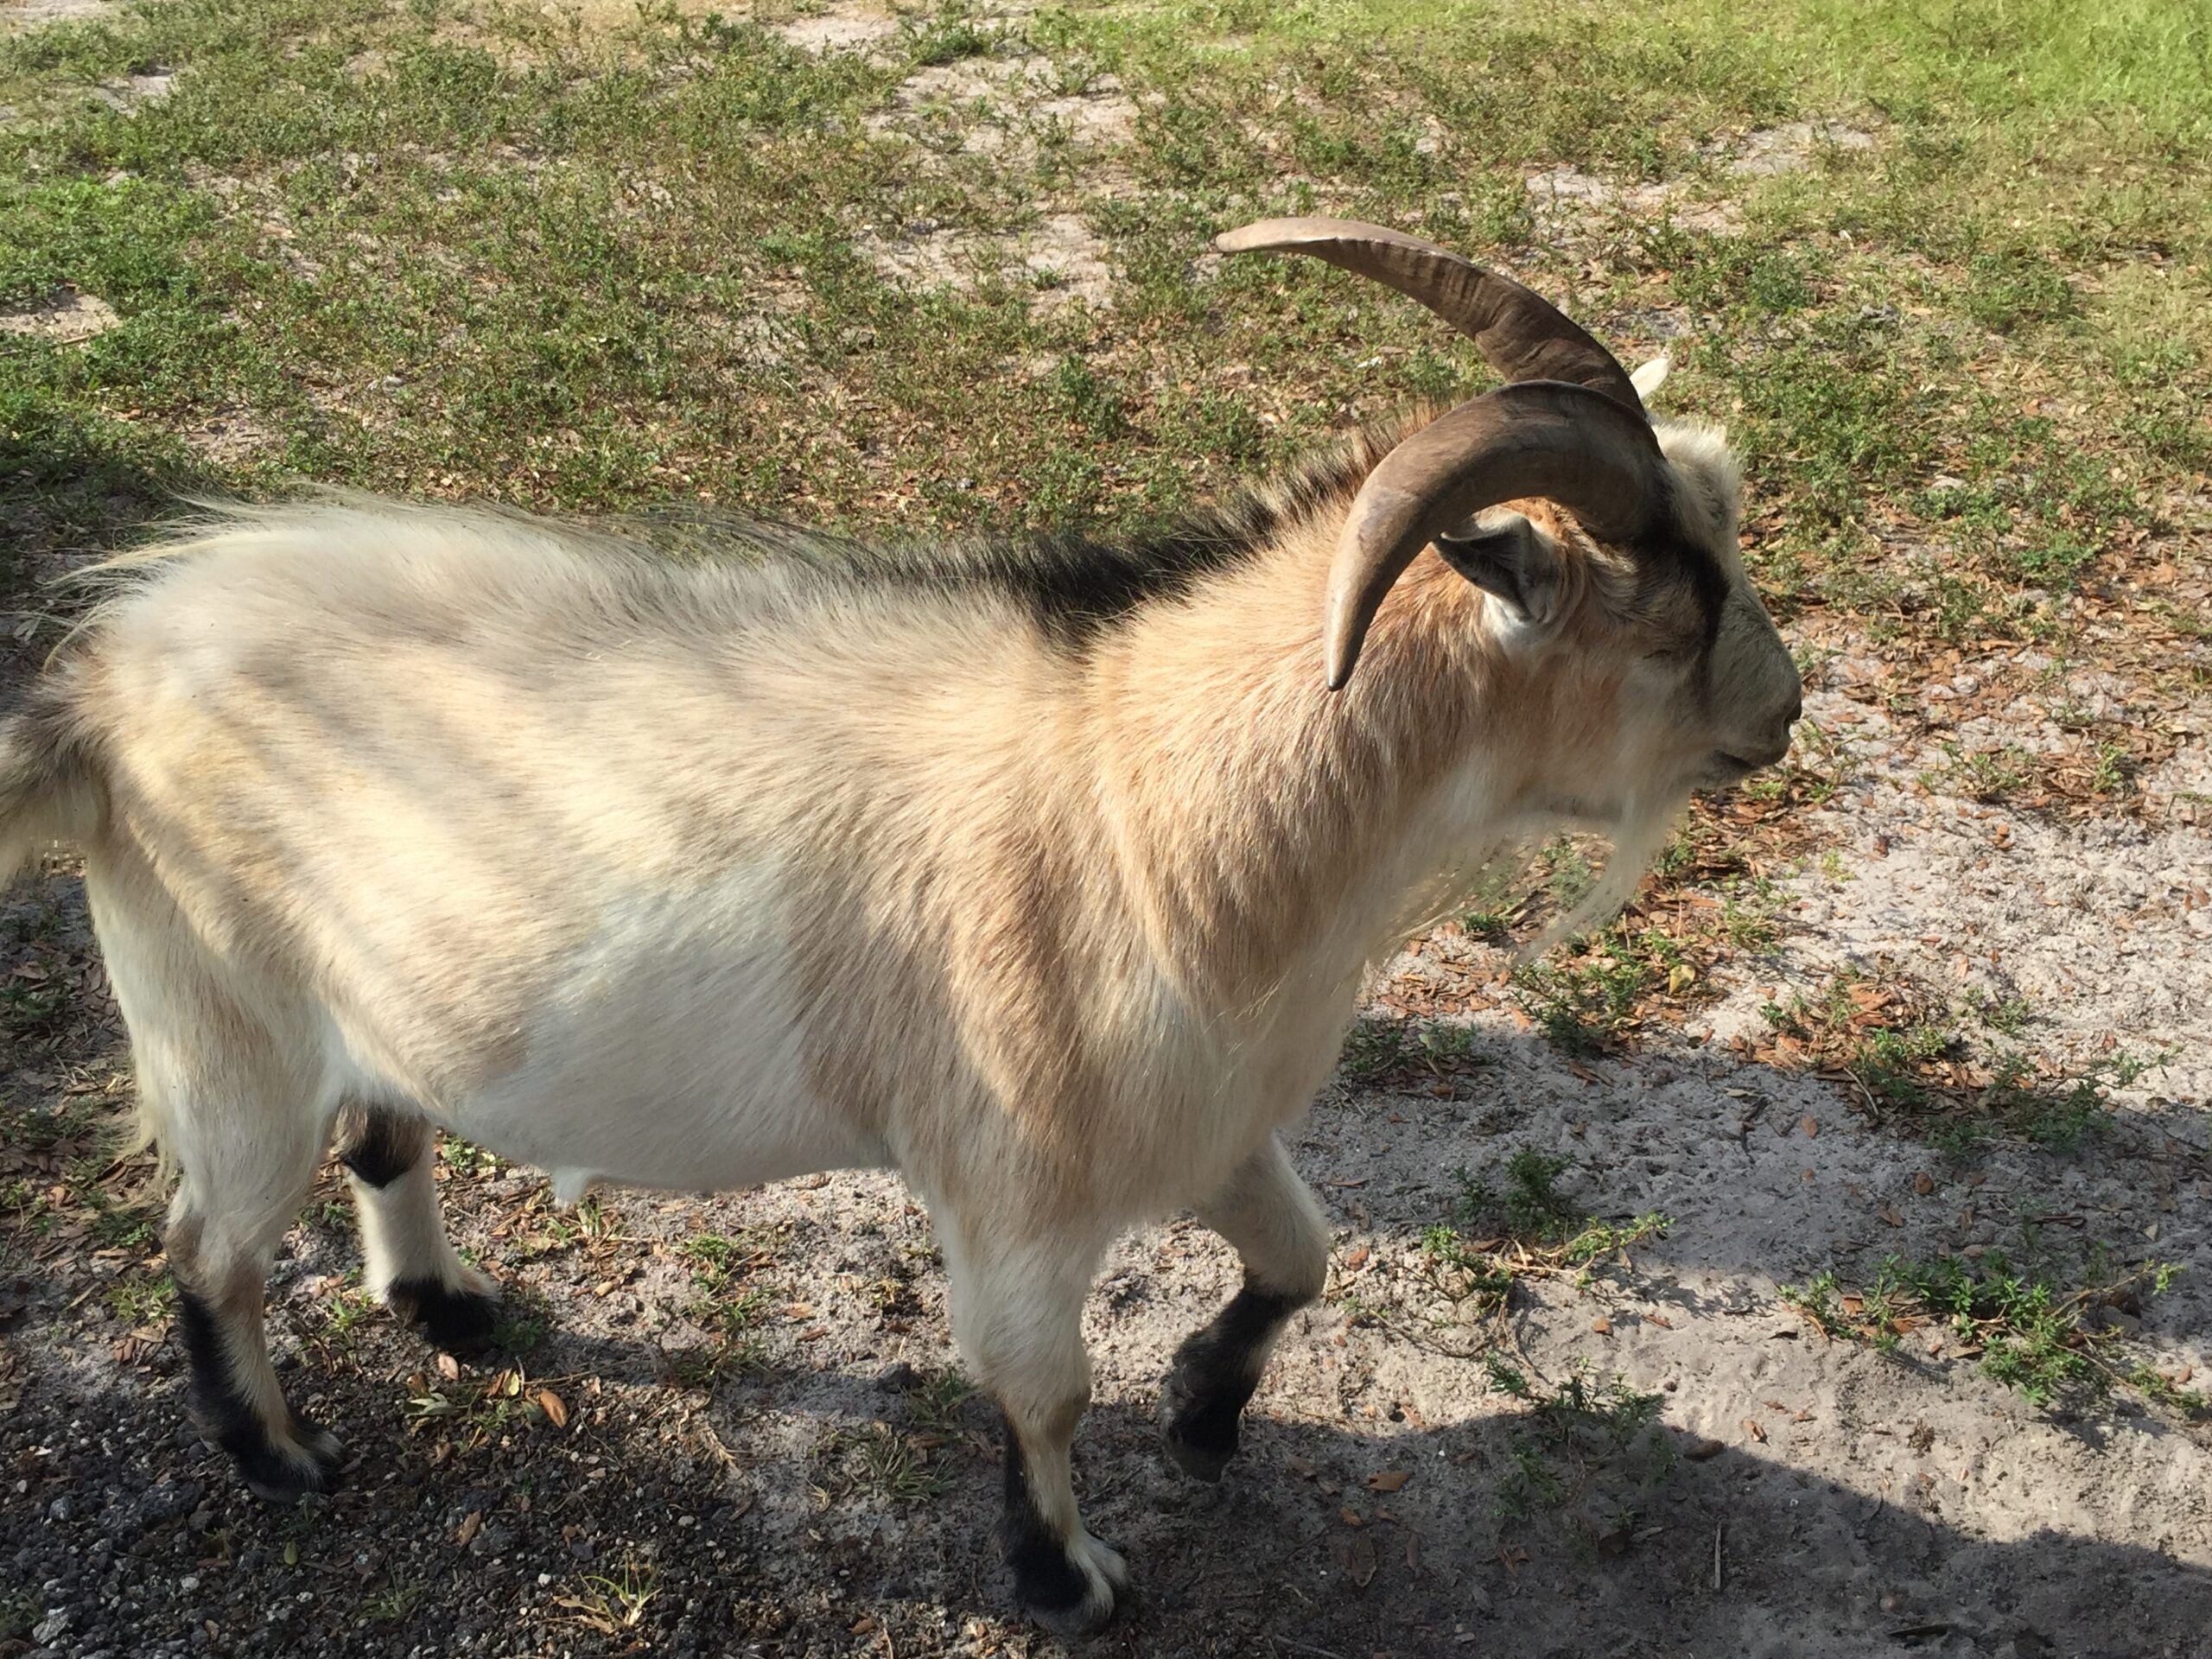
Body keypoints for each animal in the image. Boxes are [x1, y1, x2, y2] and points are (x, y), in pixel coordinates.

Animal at [0, 219, 1800, 1634]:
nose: (1782, 712)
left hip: (378, 994)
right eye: (1677, 615)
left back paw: (449, 1310)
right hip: (221, 1026)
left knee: (384, 1135)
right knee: (208, 1246)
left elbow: (1304, 1256)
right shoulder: (1018, 1186)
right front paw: (1068, 1578)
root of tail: (93, 693)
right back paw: (281, 1456)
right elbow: (1039, 1387)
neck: (1150, 790)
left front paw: (1207, 1410)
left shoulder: (1211, 1120)